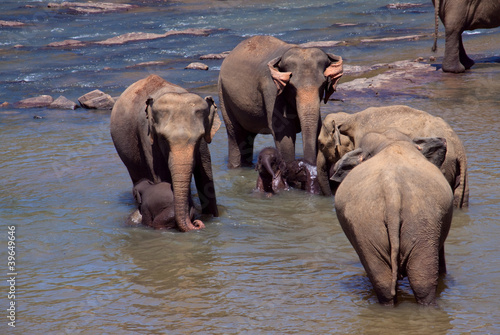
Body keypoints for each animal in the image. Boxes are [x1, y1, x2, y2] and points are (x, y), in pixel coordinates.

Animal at [110, 75, 222, 232]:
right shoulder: (147, 137)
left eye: (199, 138)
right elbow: (160, 175)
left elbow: (205, 175)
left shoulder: (203, 146)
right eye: (163, 138)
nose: (196, 223)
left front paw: (211, 217)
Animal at [219, 35, 344, 177]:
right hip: (223, 95)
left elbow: (317, 127)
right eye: (292, 87)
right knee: (235, 134)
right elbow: (284, 134)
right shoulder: (273, 92)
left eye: (323, 84)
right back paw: (235, 167)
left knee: (247, 138)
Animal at [330, 129, 456, 308]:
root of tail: (392, 190)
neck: (389, 142)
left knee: (383, 280)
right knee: (423, 282)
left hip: (368, 226)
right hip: (423, 220)